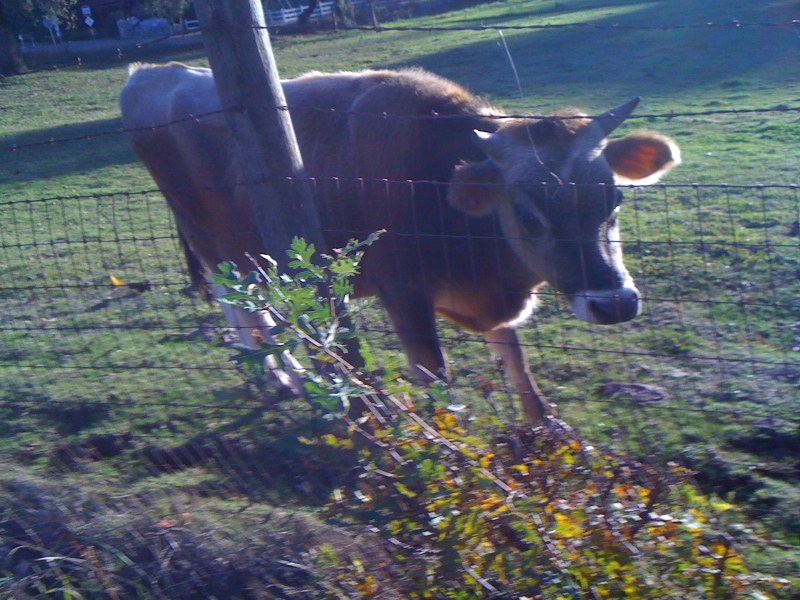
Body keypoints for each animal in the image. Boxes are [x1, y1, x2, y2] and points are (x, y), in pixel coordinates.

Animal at [120, 63, 680, 423]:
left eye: (614, 199)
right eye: (527, 213)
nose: (614, 302)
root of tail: (152, 71)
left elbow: (515, 361)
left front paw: (547, 433)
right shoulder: (404, 295)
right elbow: (436, 379)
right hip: (213, 244)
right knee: (241, 308)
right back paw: (284, 377)